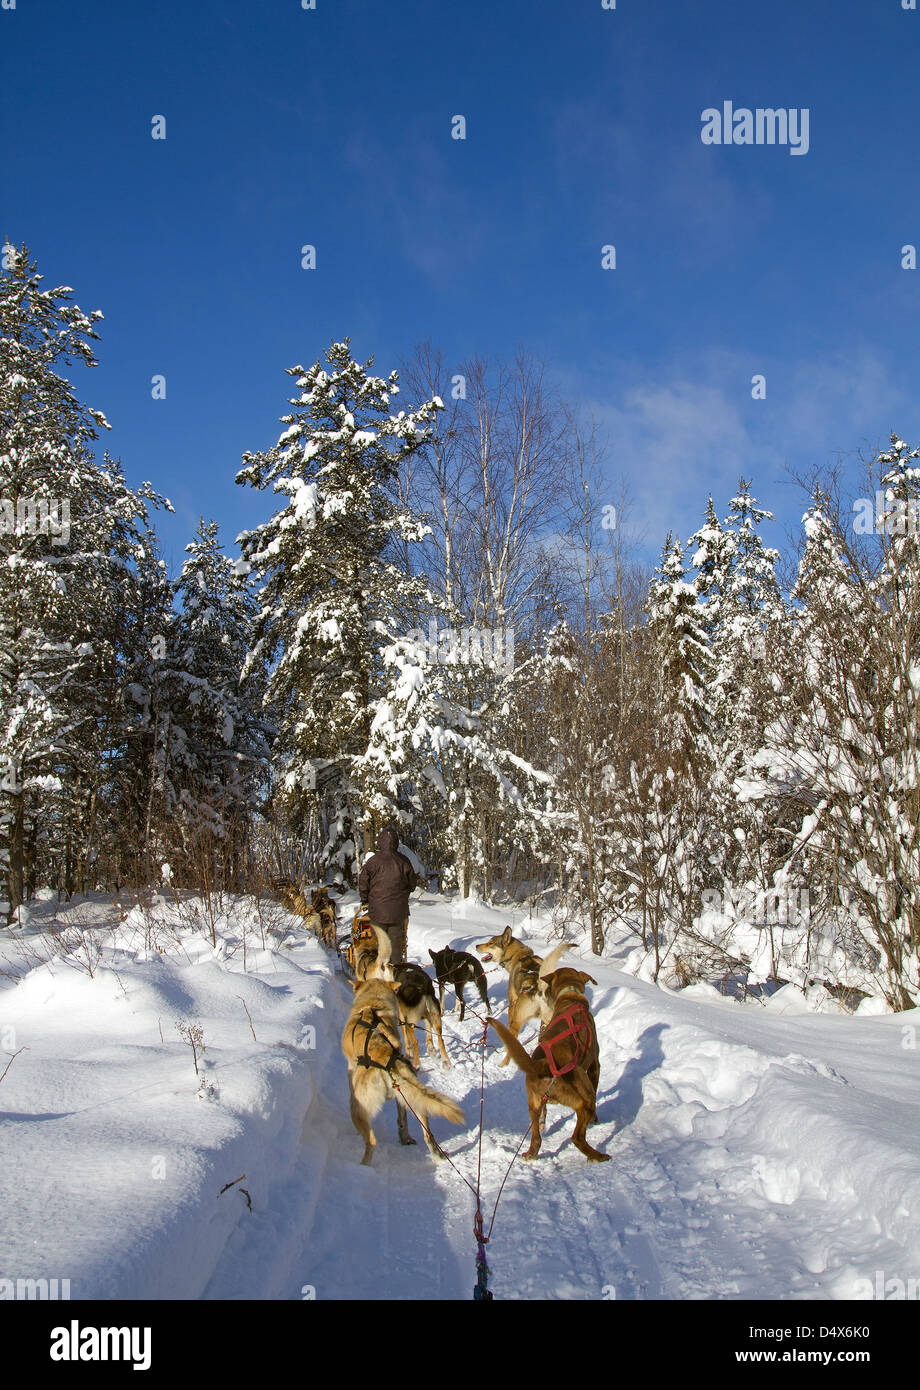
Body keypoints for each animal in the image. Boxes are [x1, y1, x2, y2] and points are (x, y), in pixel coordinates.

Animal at [341, 984, 464, 1167]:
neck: (372, 1003)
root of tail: (384, 1059)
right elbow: (402, 1119)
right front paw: (404, 1136)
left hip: (357, 1109)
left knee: (371, 1141)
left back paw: (362, 1167)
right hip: (415, 1101)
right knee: (428, 1134)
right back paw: (433, 1152)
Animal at [489, 967, 611, 1162]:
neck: (570, 995)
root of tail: (541, 1066)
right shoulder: (594, 1065)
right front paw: (596, 1120)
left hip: (534, 1105)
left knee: (536, 1137)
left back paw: (531, 1154)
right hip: (584, 1098)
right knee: (576, 1137)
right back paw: (598, 1156)